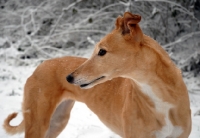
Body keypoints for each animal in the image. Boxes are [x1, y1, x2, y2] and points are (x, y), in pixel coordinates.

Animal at [2, 12, 191, 138]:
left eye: (102, 51)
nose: (68, 78)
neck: (160, 96)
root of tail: (40, 65)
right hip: (38, 123)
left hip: (57, 121)